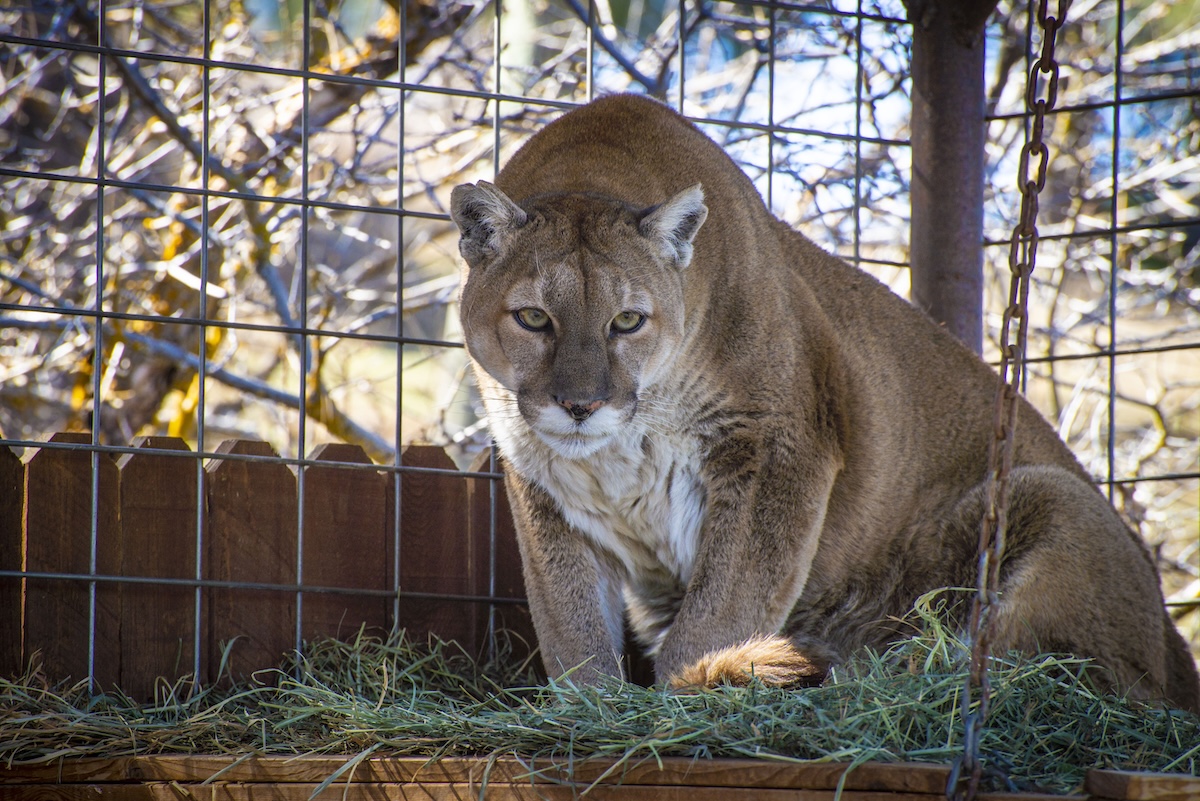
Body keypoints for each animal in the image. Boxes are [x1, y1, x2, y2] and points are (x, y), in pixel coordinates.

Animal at [450, 93, 1199, 711]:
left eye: (628, 321)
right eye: (534, 318)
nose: (581, 405)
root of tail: (1178, 657)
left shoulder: (779, 446)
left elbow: (720, 610)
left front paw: (684, 692)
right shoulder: (541, 485)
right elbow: (569, 618)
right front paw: (593, 709)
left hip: (1049, 498)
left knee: (1015, 669)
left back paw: (850, 672)